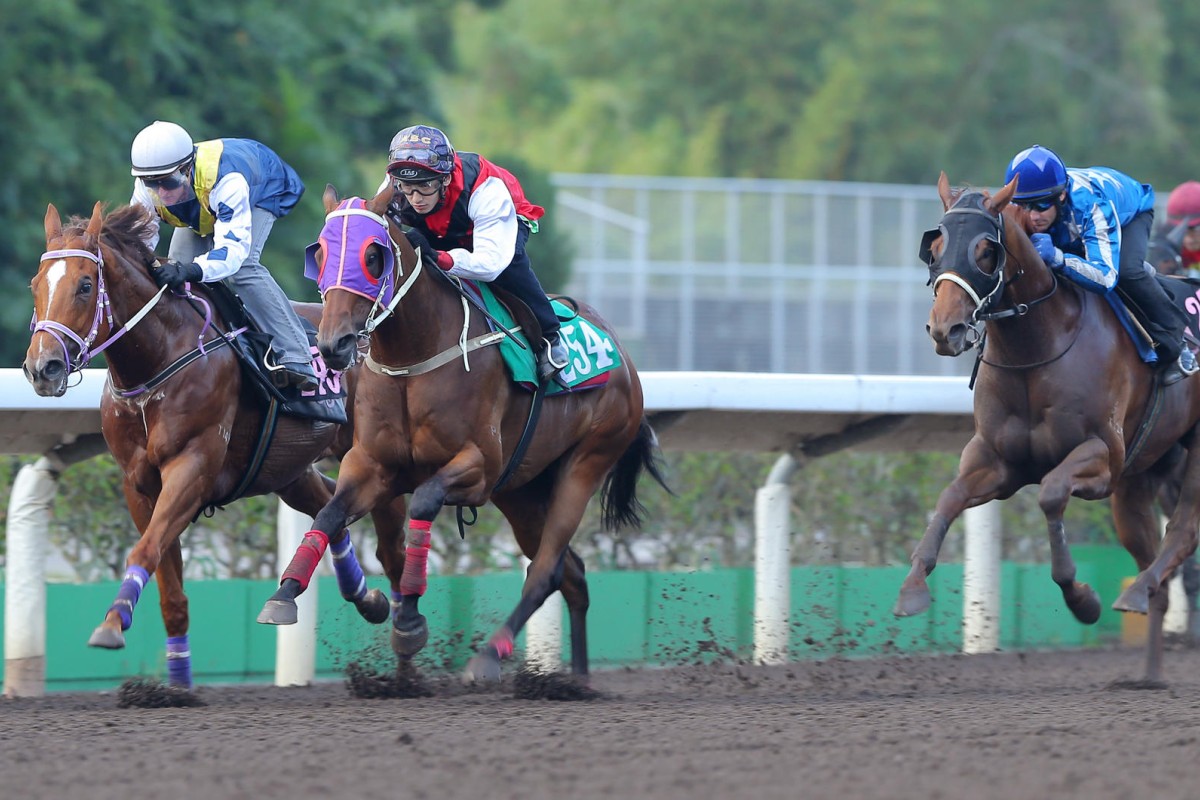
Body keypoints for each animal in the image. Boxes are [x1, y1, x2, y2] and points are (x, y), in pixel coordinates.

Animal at [23, 203, 400, 690]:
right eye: (35, 285)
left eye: (86, 285)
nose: (42, 368)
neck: (159, 359)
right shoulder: (138, 484)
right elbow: (168, 582)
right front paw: (176, 681)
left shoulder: (193, 468)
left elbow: (145, 548)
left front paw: (111, 622)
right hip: (285, 468)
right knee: (329, 508)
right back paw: (363, 598)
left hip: (375, 454)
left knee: (388, 535)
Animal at [258, 185, 667, 681]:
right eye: (319, 253)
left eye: (373, 255)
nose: (334, 344)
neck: (412, 359)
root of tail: (623, 357)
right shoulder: (371, 464)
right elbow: (328, 515)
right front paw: (284, 595)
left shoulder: (478, 469)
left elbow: (425, 501)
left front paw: (409, 620)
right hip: (522, 490)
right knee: (573, 574)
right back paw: (577, 681)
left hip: (586, 462)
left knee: (547, 569)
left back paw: (490, 656)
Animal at [892, 173, 1200, 681]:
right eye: (933, 248)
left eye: (985, 250)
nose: (945, 329)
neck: (1036, 348)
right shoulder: (997, 461)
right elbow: (949, 499)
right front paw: (912, 589)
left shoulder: (1103, 458)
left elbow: (1052, 493)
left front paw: (1083, 600)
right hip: (1137, 481)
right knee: (1152, 552)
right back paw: (1148, 668)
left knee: (1182, 532)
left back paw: (1136, 592)